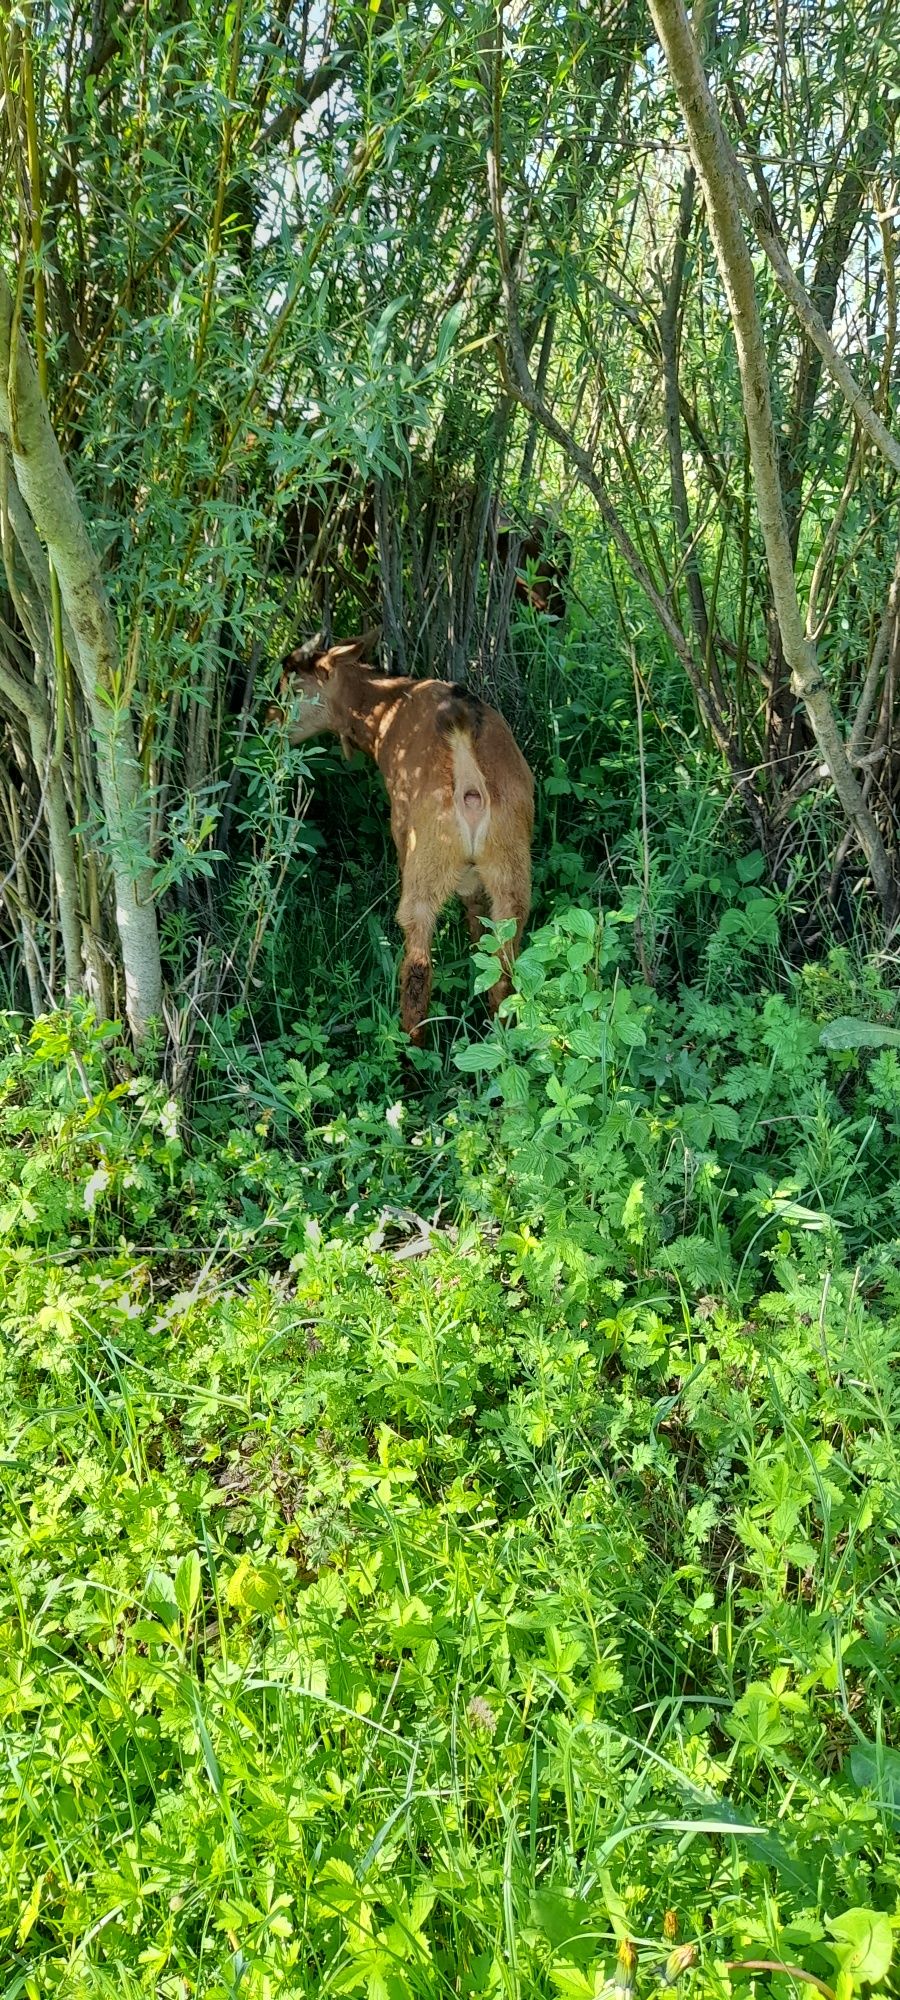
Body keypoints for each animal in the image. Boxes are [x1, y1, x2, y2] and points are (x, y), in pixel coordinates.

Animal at [268, 636, 536, 1048]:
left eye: (292, 688)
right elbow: (475, 911)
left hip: (425, 861)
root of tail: (469, 777)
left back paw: (412, 1052)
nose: (269, 722)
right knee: (504, 965)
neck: (388, 707)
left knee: (418, 965)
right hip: (510, 868)